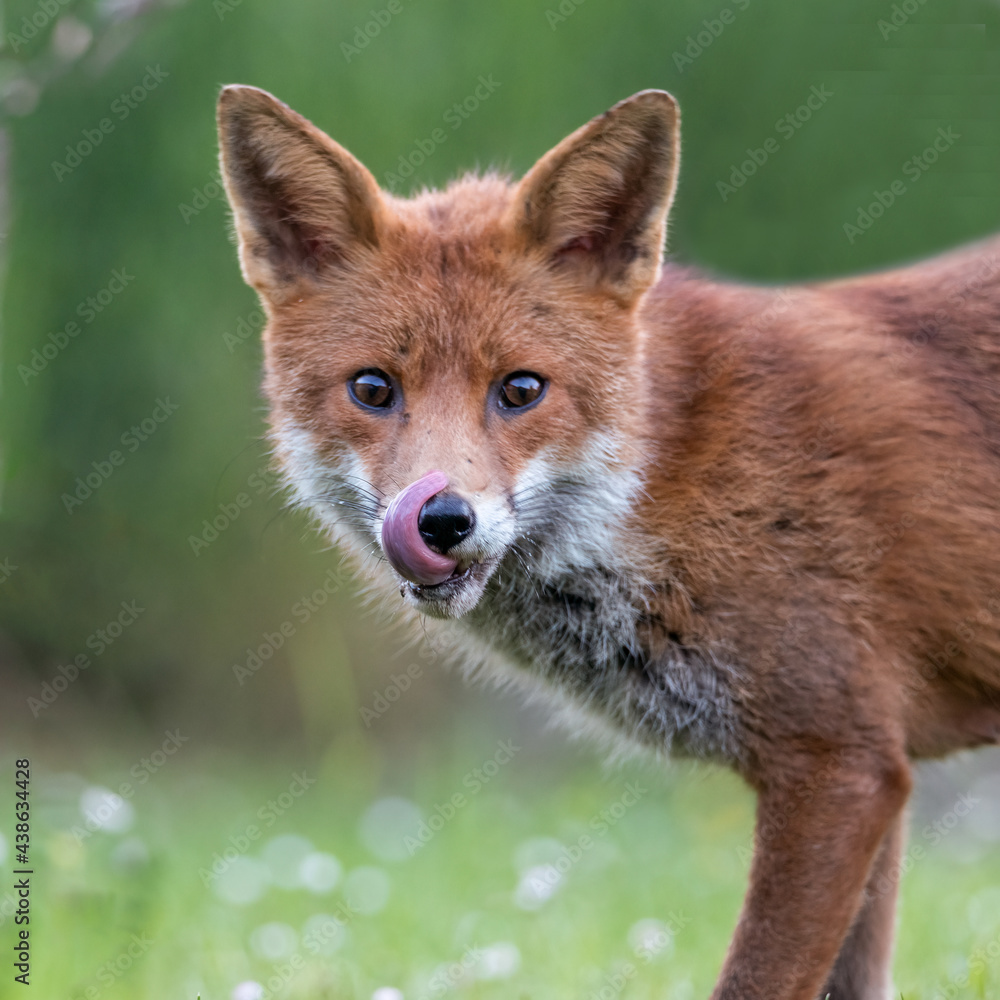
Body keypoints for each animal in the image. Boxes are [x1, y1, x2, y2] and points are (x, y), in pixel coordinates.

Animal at [216, 84, 1000, 999]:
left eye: (521, 389)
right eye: (373, 389)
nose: (441, 520)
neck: (672, 476)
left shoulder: (840, 762)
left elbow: (756, 980)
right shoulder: (877, 768)